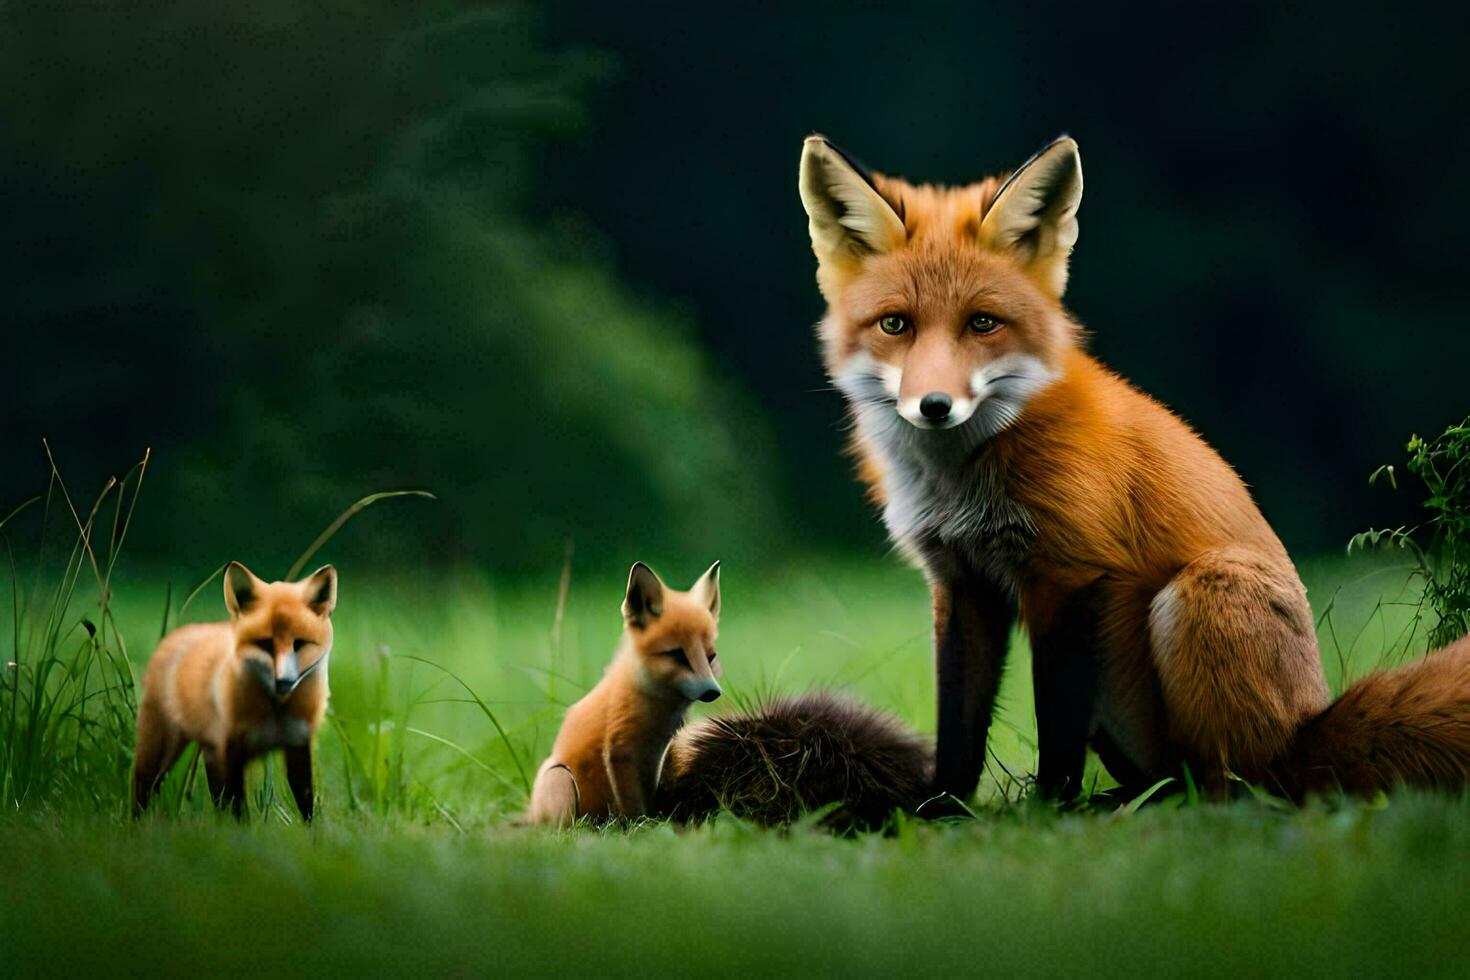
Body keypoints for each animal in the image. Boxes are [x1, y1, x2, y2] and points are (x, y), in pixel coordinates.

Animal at [132, 558, 336, 822]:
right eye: (265, 644)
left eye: (299, 644)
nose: (283, 682)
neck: (275, 712)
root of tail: (176, 635)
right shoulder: (231, 752)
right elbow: (240, 814)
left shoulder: (298, 746)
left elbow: (307, 809)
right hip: (160, 752)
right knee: (143, 790)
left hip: (207, 753)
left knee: (216, 799)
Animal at [799, 132, 1470, 805]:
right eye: (895, 324)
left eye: (982, 323)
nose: (934, 406)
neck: (964, 477)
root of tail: (1304, 735)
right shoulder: (962, 581)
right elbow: (959, 727)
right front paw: (944, 809)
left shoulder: (1072, 573)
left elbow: (1055, 725)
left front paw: (1048, 810)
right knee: (1171, 778)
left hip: (1199, 595)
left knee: (1228, 788)